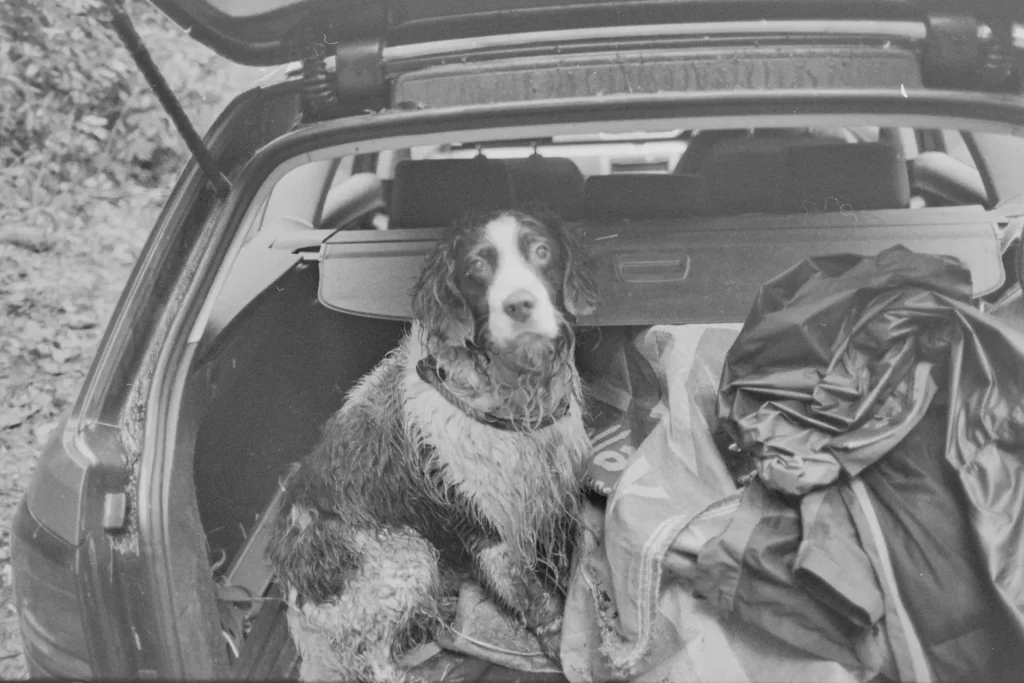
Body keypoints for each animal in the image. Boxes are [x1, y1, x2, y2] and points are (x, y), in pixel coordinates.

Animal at [268, 209, 598, 683]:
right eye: (477, 266)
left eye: (541, 251)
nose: (519, 305)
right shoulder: (490, 532)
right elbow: (537, 602)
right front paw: (559, 646)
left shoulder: (555, 495)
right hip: (404, 556)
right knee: (374, 660)